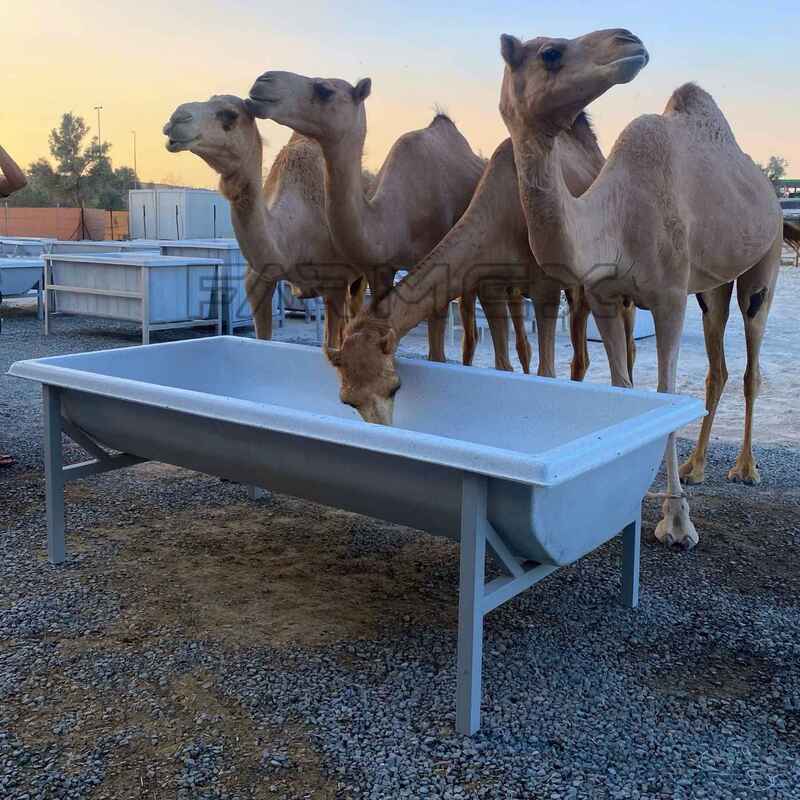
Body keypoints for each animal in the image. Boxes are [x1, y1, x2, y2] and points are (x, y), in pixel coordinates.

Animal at [246, 71, 536, 370]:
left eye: (325, 90)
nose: (263, 81)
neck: (396, 220)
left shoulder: (437, 265)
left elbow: (437, 350)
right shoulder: (380, 270)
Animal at [498, 28, 782, 547]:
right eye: (551, 53)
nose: (628, 39)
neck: (614, 219)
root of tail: (769, 193)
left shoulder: (668, 298)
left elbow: (665, 392)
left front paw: (677, 523)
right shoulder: (607, 298)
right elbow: (623, 386)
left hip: (764, 260)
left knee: (752, 361)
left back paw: (745, 469)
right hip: (709, 289)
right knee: (717, 365)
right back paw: (694, 467)